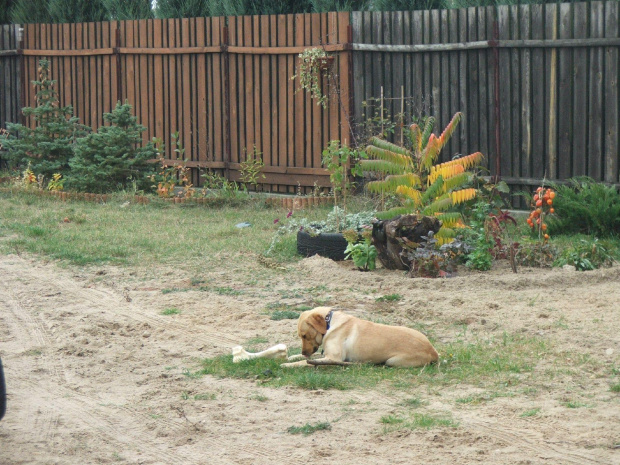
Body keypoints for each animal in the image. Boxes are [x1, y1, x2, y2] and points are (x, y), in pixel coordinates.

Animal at [284, 306, 438, 368]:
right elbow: (302, 358)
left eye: (305, 336)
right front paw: (291, 357)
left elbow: (304, 362)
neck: (329, 323)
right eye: (300, 336)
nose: (304, 352)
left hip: (392, 361)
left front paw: (287, 365)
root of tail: (433, 351)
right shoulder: (326, 354)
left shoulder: (333, 358)